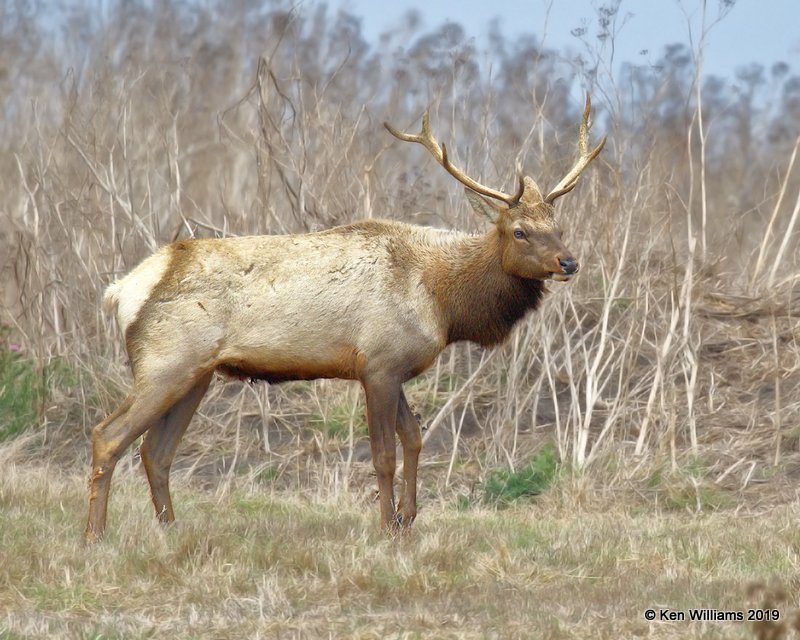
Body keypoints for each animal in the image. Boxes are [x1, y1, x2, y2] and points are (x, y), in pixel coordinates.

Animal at [84, 96, 604, 544]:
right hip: (165, 363)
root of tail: (121, 291)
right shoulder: (379, 363)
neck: (443, 301)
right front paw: (388, 527)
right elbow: (384, 454)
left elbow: (415, 439)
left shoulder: (391, 367)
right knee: (108, 436)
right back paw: (94, 536)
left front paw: (408, 519)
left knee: (156, 451)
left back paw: (170, 530)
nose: (569, 262)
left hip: (198, 374)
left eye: (557, 227)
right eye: (519, 231)